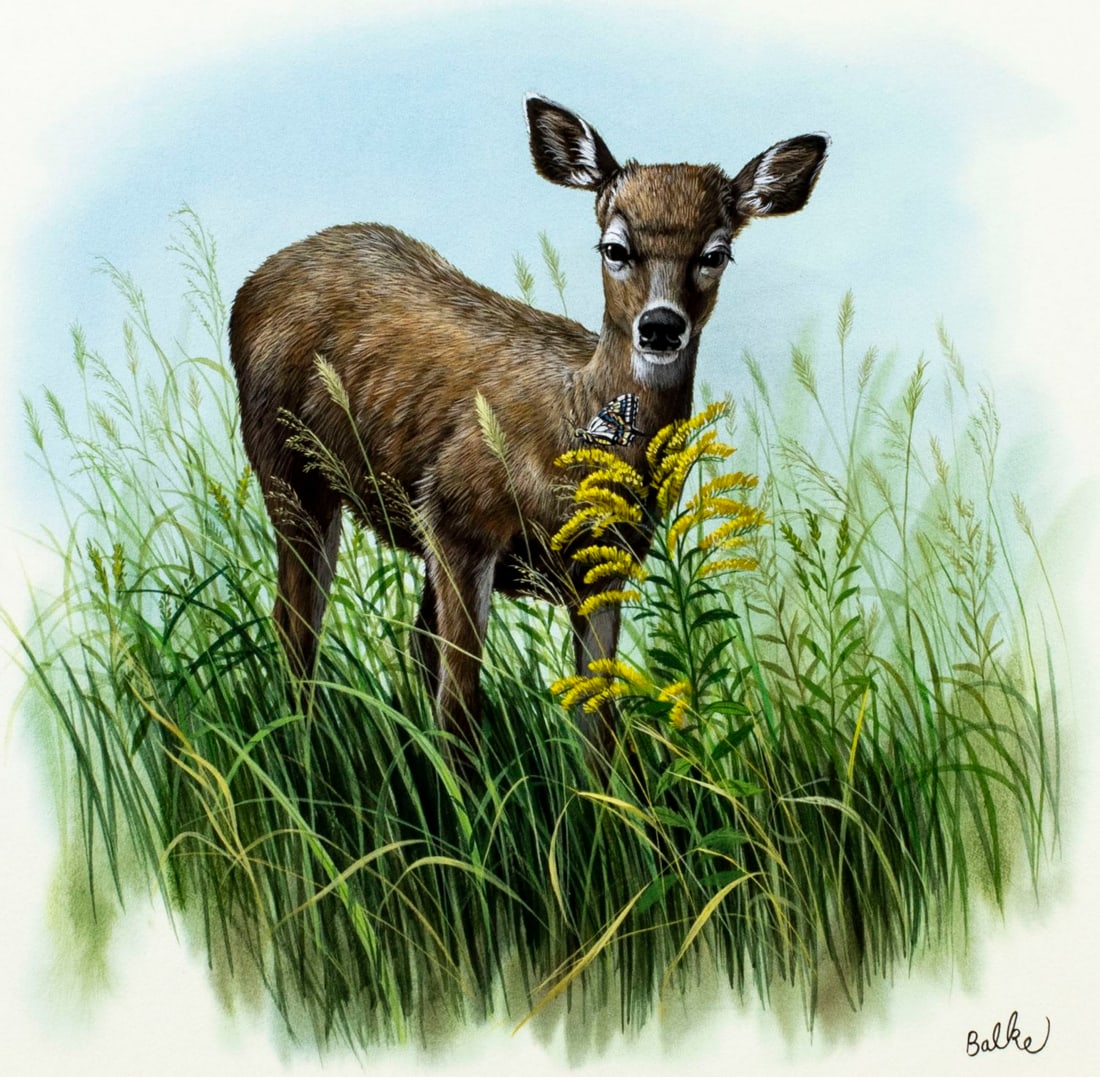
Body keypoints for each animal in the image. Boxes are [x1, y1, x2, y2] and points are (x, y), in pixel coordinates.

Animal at [228, 94, 827, 762]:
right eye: (614, 247)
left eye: (716, 253)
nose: (661, 327)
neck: (571, 426)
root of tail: (262, 274)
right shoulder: (458, 520)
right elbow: (461, 702)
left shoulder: (604, 565)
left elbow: (599, 721)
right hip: (287, 466)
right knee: (298, 623)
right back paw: (300, 753)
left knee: (407, 640)